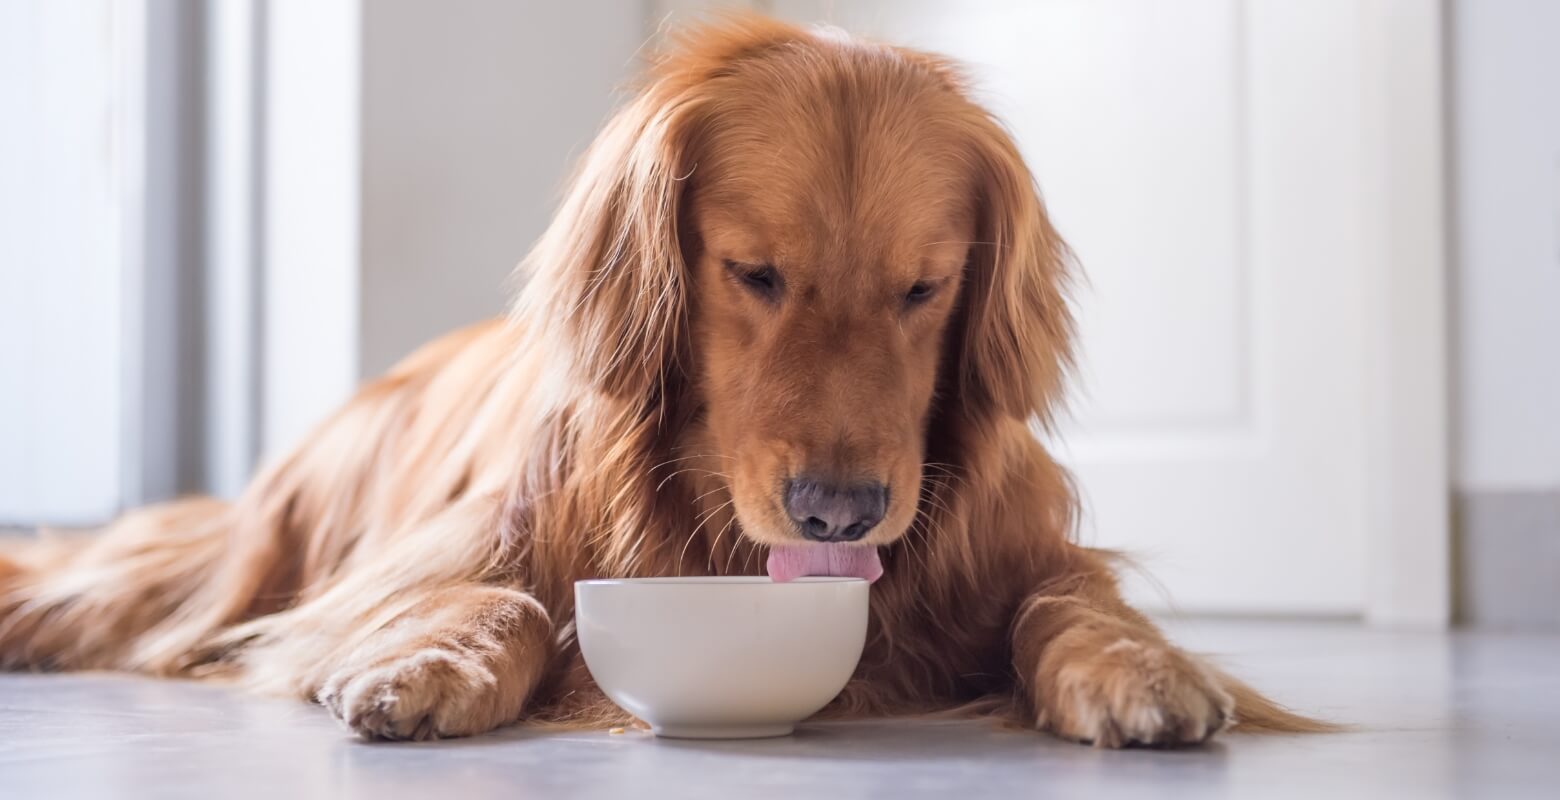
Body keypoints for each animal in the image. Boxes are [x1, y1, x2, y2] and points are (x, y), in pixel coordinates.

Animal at [0, 15, 1322, 745]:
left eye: (924, 288)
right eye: (754, 272)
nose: (838, 512)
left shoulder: (1024, 551)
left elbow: (1069, 602)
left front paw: (1143, 668)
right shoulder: (435, 557)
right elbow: (505, 596)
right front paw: (431, 666)